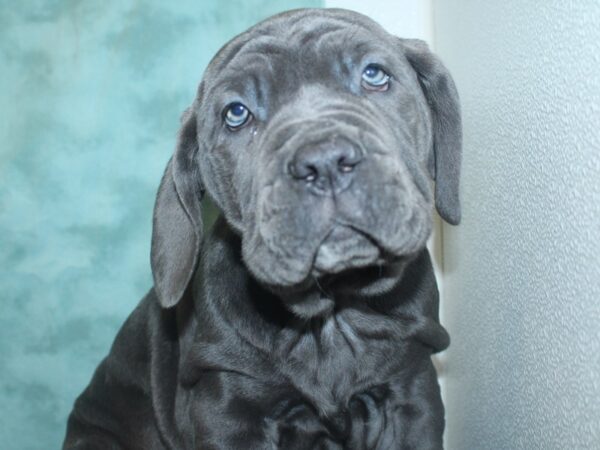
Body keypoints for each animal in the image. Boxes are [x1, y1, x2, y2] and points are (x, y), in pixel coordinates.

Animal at [63, 7, 462, 450]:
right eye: (236, 114)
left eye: (374, 74)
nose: (324, 162)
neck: (331, 314)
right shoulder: (227, 409)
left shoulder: (412, 392)